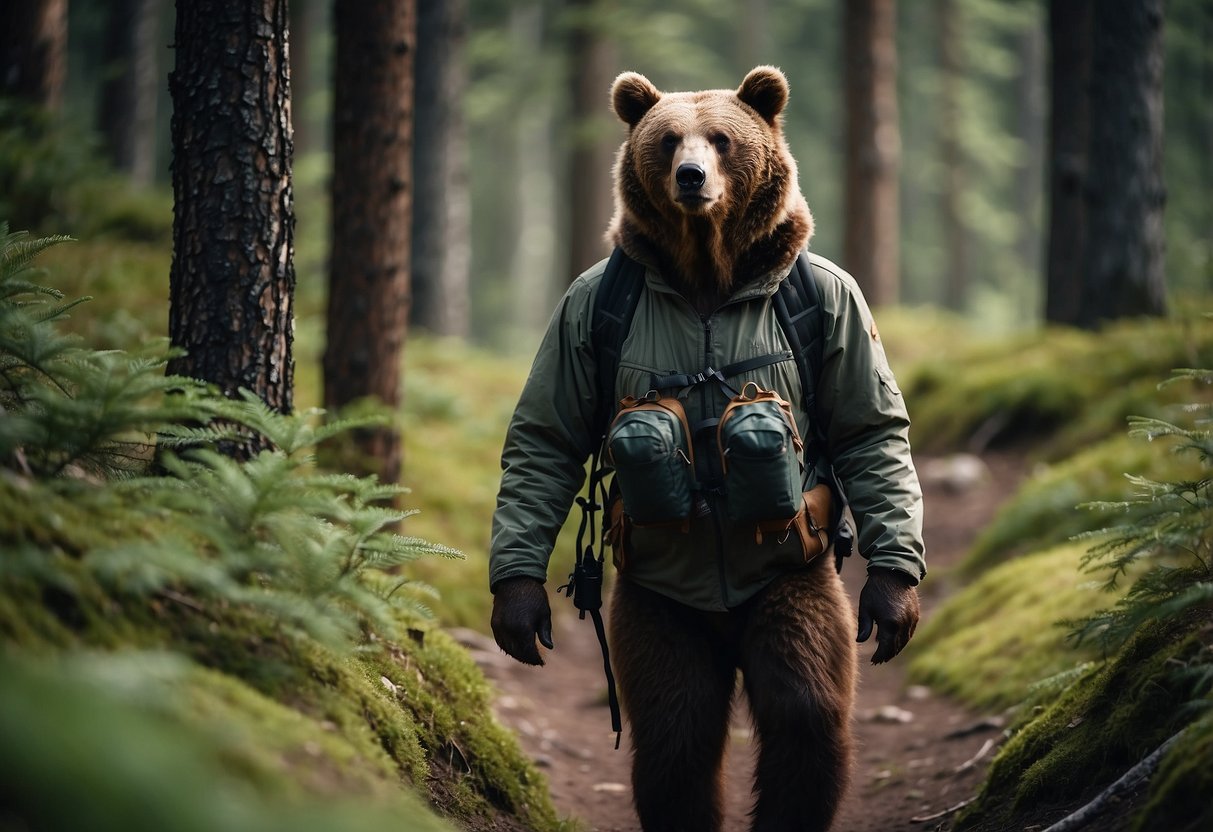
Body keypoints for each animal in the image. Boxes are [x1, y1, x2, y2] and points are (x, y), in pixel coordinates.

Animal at [487, 63, 921, 832]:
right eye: (666, 140)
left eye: (721, 138)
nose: (691, 176)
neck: (706, 277)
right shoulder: (579, 310)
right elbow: (546, 432)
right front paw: (518, 607)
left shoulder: (838, 301)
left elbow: (868, 425)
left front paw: (893, 600)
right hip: (659, 608)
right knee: (674, 727)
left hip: (789, 575)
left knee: (800, 702)